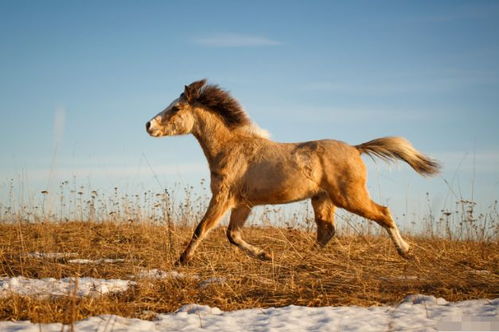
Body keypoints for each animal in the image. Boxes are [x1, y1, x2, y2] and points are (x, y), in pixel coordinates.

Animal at [146, 80, 442, 264]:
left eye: (176, 107)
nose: (148, 125)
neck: (232, 147)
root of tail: (356, 149)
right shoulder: (242, 204)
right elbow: (233, 235)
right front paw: (266, 255)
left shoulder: (222, 198)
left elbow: (202, 228)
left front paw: (181, 261)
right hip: (322, 199)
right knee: (327, 231)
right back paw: (303, 258)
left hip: (349, 197)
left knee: (383, 213)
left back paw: (406, 252)